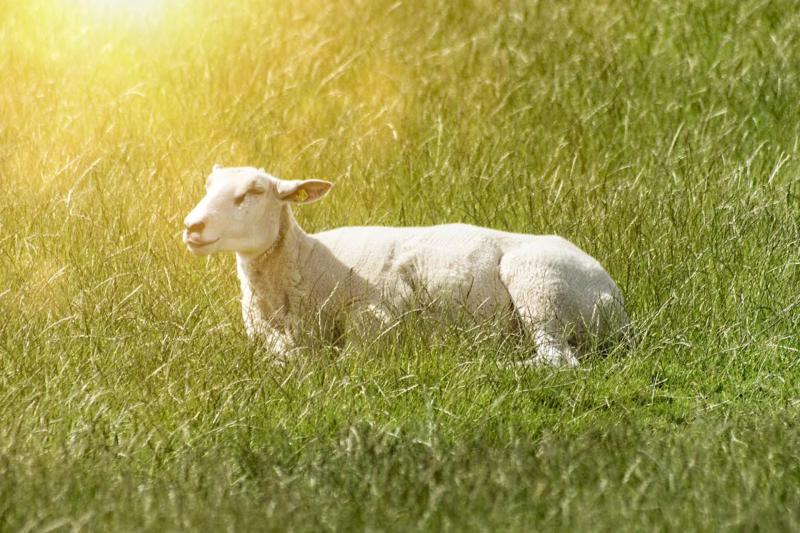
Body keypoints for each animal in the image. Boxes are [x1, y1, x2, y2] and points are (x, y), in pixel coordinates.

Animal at [183, 165, 630, 367]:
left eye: (255, 192)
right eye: (208, 187)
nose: (192, 226)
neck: (306, 259)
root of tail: (615, 300)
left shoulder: (378, 314)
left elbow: (343, 359)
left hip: (541, 286)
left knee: (557, 358)